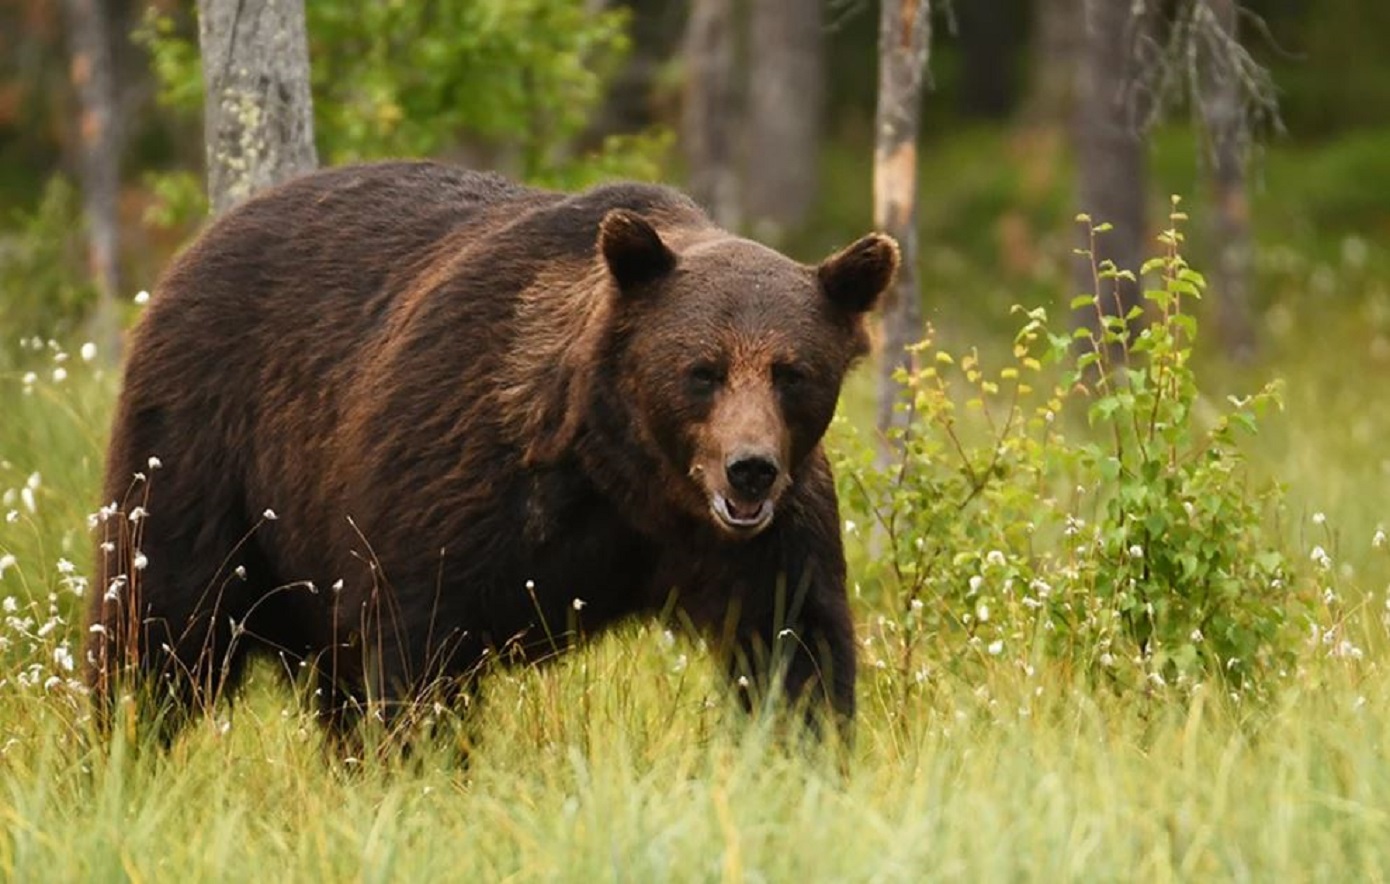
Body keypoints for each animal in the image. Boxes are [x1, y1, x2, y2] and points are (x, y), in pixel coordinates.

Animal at [86, 162, 895, 745]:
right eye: (703, 370)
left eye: (793, 373)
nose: (749, 469)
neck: (623, 473)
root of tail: (196, 247)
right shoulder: (450, 475)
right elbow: (416, 650)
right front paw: (422, 764)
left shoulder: (765, 539)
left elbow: (795, 644)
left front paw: (806, 751)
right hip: (207, 452)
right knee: (160, 623)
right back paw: (121, 746)